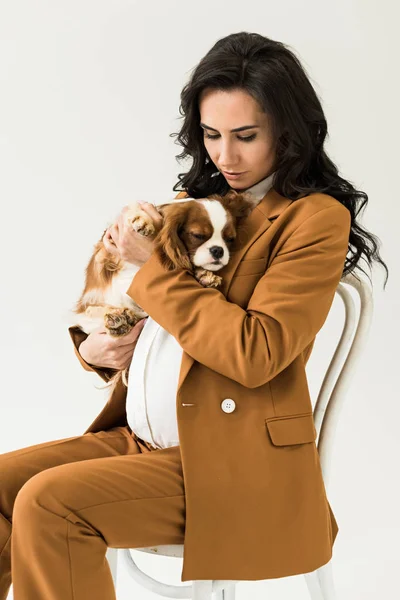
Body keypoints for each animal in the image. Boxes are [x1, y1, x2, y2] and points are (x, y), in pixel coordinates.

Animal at [71, 190, 256, 392]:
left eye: (229, 239)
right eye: (198, 235)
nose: (218, 250)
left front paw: (205, 275)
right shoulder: (109, 246)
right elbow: (133, 209)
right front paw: (142, 221)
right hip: (89, 313)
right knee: (95, 313)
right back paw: (117, 319)